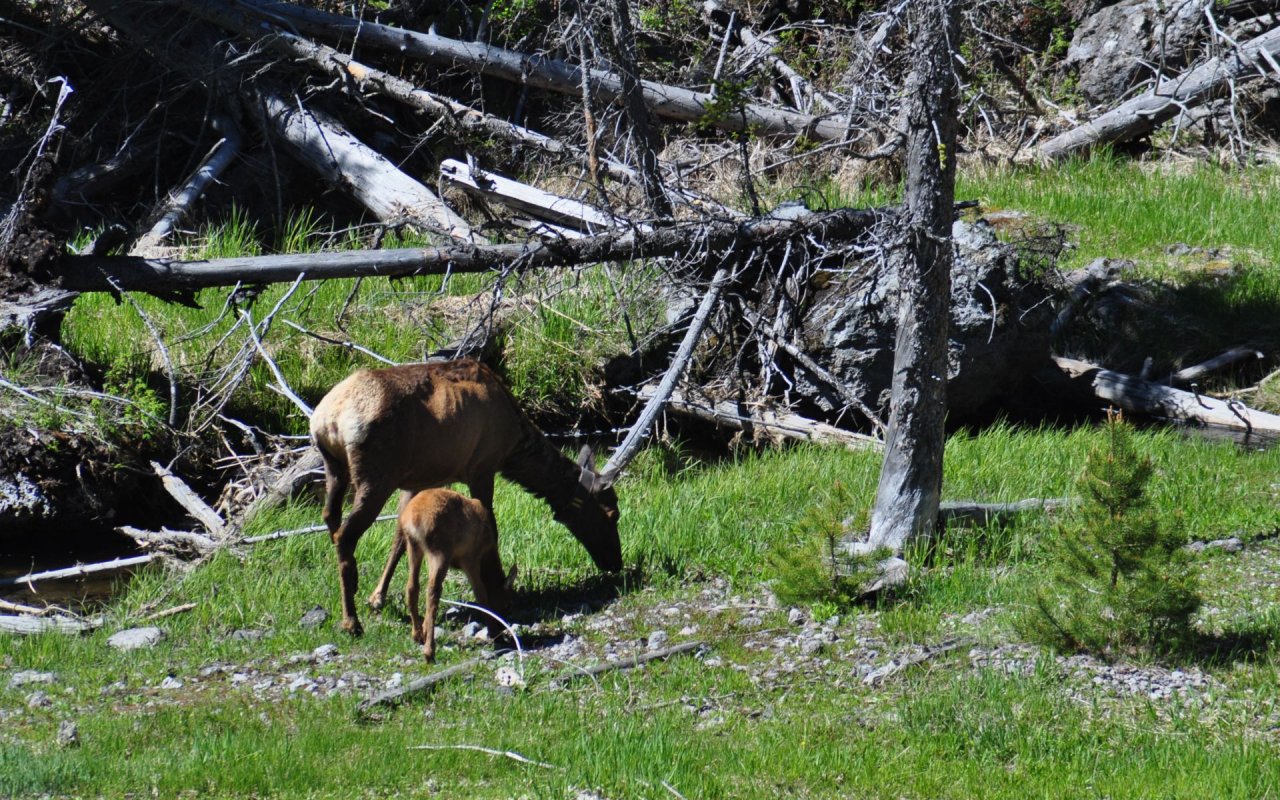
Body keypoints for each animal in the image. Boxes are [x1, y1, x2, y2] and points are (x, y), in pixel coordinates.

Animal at [304, 358, 614, 632]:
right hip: (376, 477)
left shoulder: (415, 479)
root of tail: (327, 418)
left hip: (337, 469)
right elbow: (491, 526)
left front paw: (377, 597)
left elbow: (400, 536)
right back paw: (351, 622)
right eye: (612, 513)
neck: (513, 443)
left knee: (330, 518)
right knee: (345, 534)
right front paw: (497, 590)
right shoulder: (482, 468)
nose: (615, 562)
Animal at [394, 483, 514, 660]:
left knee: (412, 586)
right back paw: (429, 651)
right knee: (433, 592)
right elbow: (481, 594)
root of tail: (413, 519)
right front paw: (494, 634)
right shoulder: (471, 557)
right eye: (506, 603)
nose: (502, 626)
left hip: (413, 546)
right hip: (440, 549)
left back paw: (417, 635)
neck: (487, 554)